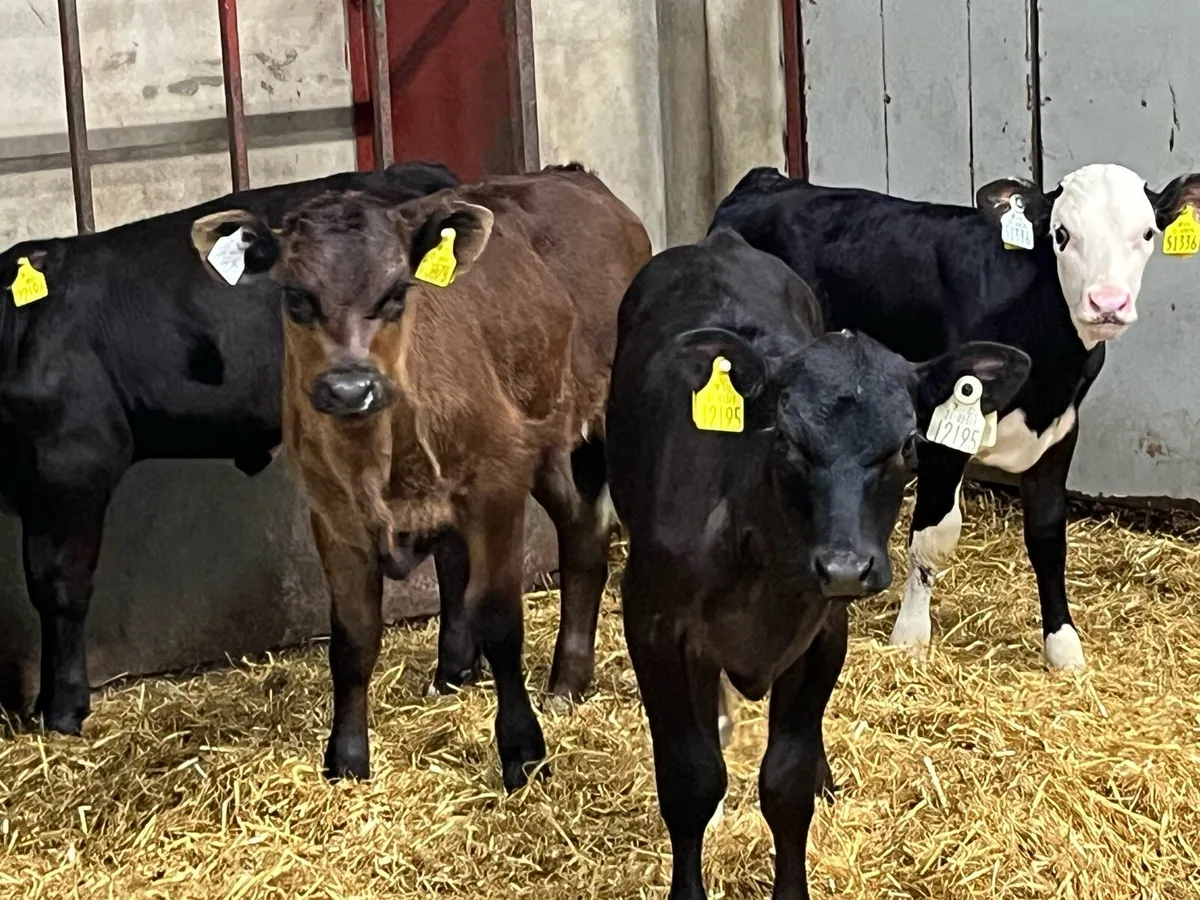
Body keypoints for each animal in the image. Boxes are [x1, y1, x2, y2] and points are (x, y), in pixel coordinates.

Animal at [188, 164, 651, 788]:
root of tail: (576, 177)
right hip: (548, 445)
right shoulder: (332, 515)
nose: (349, 389)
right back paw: (563, 680)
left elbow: (499, 618)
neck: (378, 454)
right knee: (582, 533)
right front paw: (346, 760)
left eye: (395, 293)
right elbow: (353, 638)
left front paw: (522, 751)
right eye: (297, 297)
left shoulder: (495, 487)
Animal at [606, 227, 1031, 900]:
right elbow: (691, 779)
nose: (844, 568)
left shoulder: (823, 634)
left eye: (907, 444)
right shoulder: (653, 625)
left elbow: (787, 782)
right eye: (785, 438)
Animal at [711, 163, 1200, 671]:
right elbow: (933, 536)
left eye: (1147, 233)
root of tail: (768, 180)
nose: (1107, 304)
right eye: (1062, 234)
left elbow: (1048, 535)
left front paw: (1063, 646)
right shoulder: (941, 434)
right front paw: (910, 636)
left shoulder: (1060, 432)